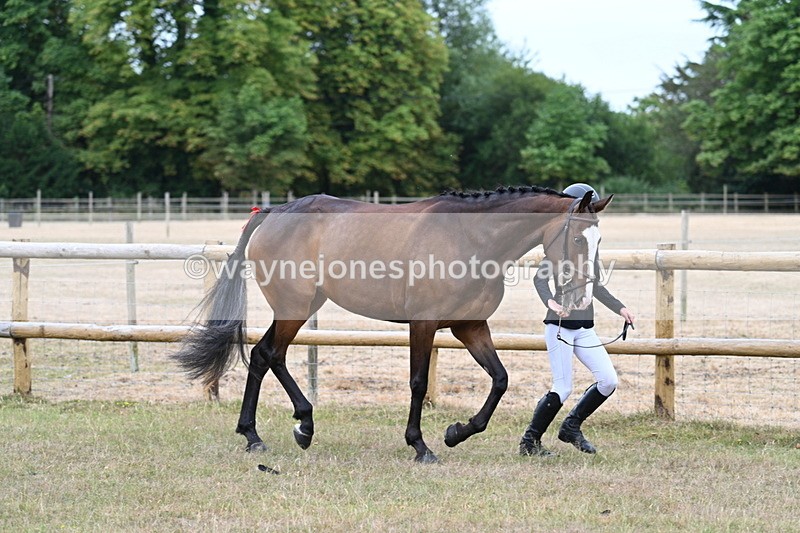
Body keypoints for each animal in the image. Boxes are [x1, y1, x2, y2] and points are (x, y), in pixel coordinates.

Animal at [173, 186, 613, 462]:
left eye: (599, 241)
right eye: (578, 240)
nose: (581, 297)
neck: (471, 238)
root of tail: (273, 213)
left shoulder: (469, 326)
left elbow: (500, 380)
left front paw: (457, 432)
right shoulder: (423, 324)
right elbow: (418, 382)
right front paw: (421, 446)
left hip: (300, 306)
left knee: (265, 356)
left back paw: (263, 433)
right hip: (293, 307)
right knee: (272, 355)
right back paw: (295, 426)